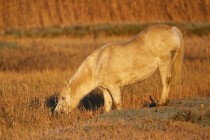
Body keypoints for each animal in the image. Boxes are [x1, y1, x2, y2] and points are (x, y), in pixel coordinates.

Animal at [54, 24, 184, 113]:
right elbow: (108, 105)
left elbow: (117, 104)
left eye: (63, 98)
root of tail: (173, 29)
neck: (98, 64)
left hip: (164, 61)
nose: (57, 112)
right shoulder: (105, 89)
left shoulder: (114, 87)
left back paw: (161, 102)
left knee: (166, 81)